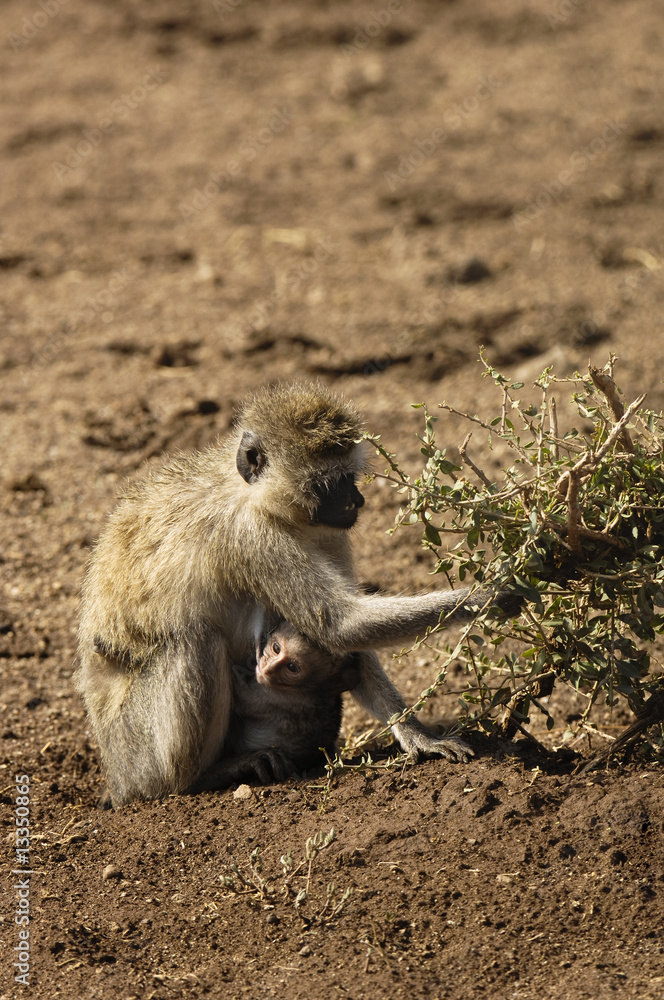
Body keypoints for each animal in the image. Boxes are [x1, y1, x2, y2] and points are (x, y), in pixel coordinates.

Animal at [77, 381, 521, 805]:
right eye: (330, 482)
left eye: (350, 476)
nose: (358, 500)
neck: (254, 496)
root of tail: (116, 779)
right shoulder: (252, 536)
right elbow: (340, 624)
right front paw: (493, 594)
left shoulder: (328, 532)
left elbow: (347, 638)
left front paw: (417, 734)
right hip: (136, 751)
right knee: (194, 639)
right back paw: (197, 779)